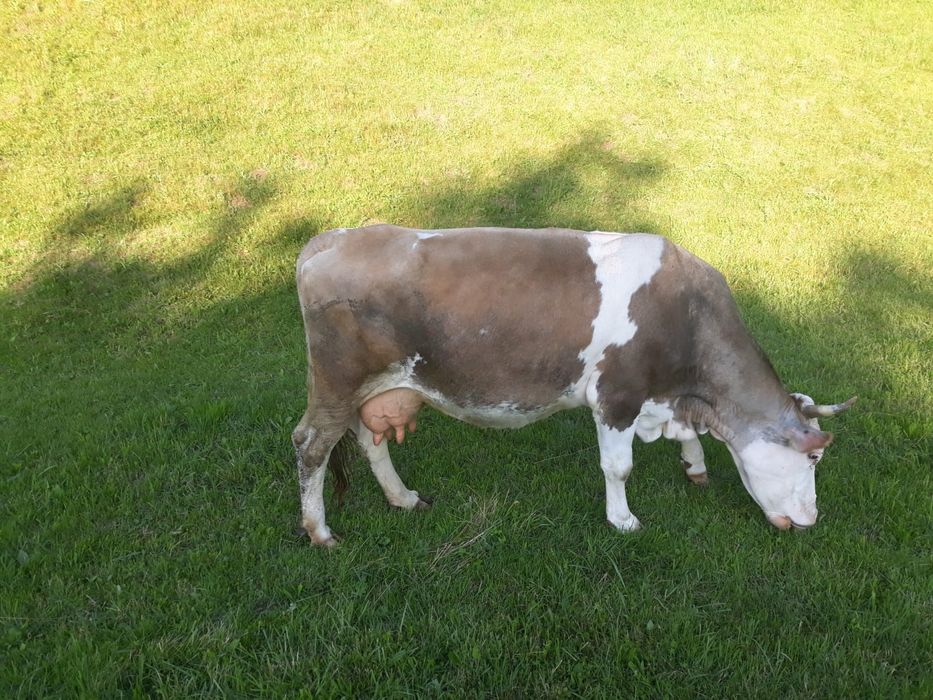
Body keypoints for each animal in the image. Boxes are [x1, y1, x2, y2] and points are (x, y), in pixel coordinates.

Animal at [292, 225, 855, 546]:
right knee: (311, 445)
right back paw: (320, 531)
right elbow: (618, 466)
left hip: (374, 388)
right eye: (813, 458)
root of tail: (330, 238)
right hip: (336, 380)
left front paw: (694, 465)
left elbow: (687, 438)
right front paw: (622, 520)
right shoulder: (617, 396)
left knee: (371, 440)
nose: (811, 519)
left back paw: (403, 497)